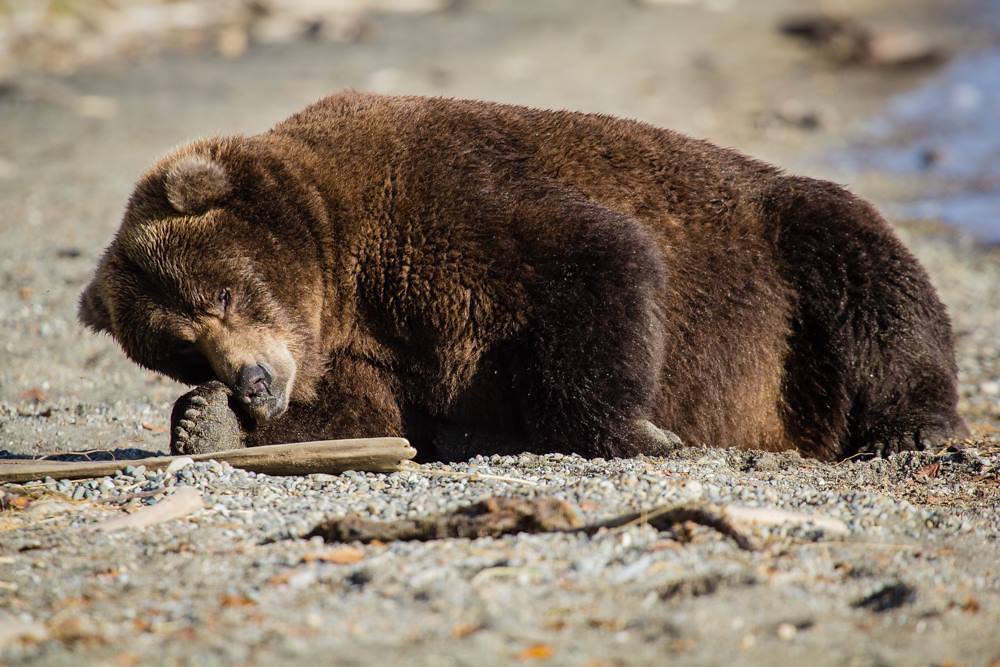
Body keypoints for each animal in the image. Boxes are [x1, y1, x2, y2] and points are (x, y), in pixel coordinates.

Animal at [78, 91, 968, 462]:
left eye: (222, 292)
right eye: (182, 347)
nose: (253, 382)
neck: (346, 273)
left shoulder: (445, 199)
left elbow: (597, 261)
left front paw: (639, 431)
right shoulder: (364, 344)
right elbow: (364, 415)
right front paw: (206, 421)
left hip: (785, 251)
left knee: (871, 278)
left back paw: (913, 427)